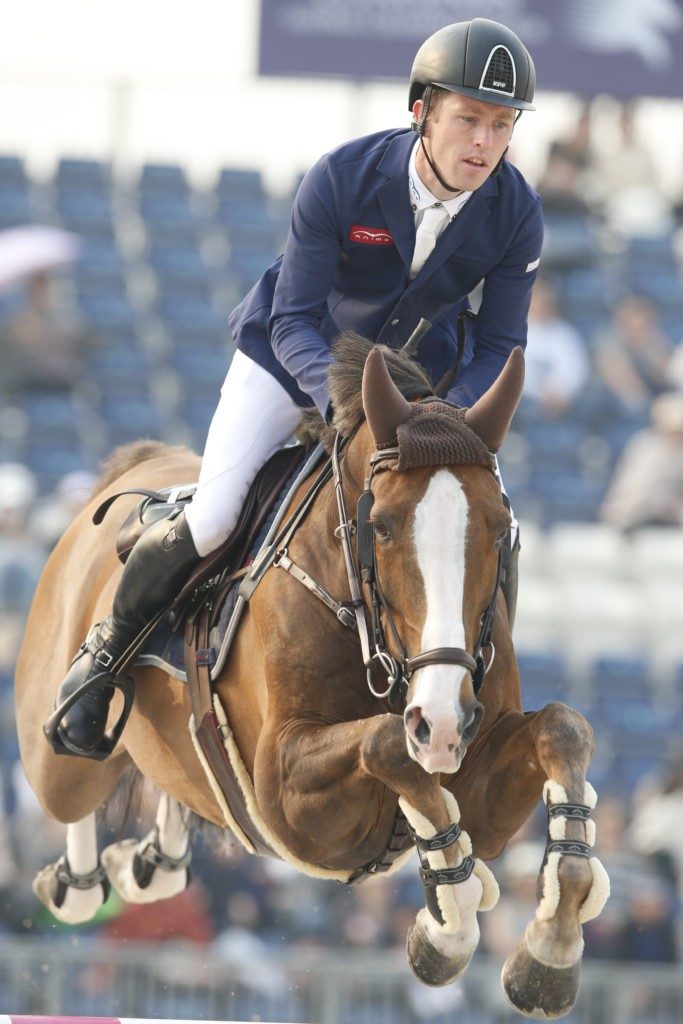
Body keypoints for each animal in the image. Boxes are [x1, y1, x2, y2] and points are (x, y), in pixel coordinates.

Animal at [14, 342, 610, 1015]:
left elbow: (562, 729)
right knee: (71, 793)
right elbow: (386, 741)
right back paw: (80, 867)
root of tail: (133, 466)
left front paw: (548, 949)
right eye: (381, 525)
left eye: (497, 525)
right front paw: (447, 923)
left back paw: (154, 857)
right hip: (56, 759)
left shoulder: (483, 789)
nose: (442, 725)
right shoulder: (288, 796)